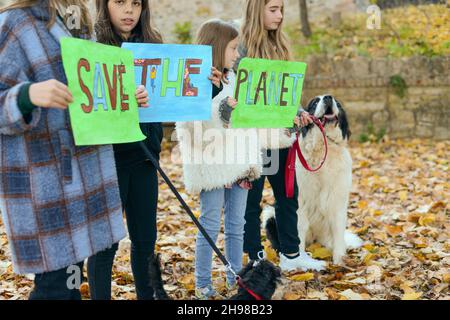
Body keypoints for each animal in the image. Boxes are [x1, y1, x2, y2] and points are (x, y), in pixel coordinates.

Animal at [266, 95, 364, 264]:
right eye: (315, 102)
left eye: (337, 103)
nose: (328, 98)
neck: (324, 148)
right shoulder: (300, 202)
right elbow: (298, 230)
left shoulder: (338, 202)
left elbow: (338, 232)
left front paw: (339, 262)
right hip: (270, 215)